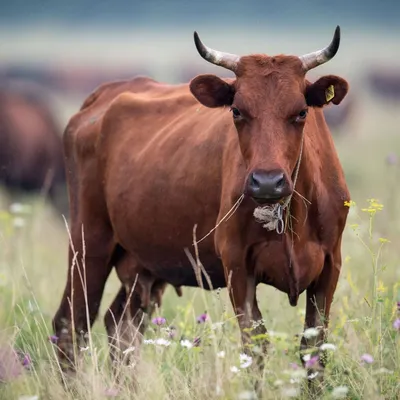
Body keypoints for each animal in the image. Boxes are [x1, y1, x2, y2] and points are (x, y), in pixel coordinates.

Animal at [53, 26, 350, 396]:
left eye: (301, 112)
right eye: (236, 111)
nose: (267, 182)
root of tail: (104, 95)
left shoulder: (330, 265)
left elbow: (314, 348)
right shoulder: (237, 265)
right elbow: (255, 346)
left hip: (142, 263)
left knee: (120, 327)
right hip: (88, 243)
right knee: (72, 323)